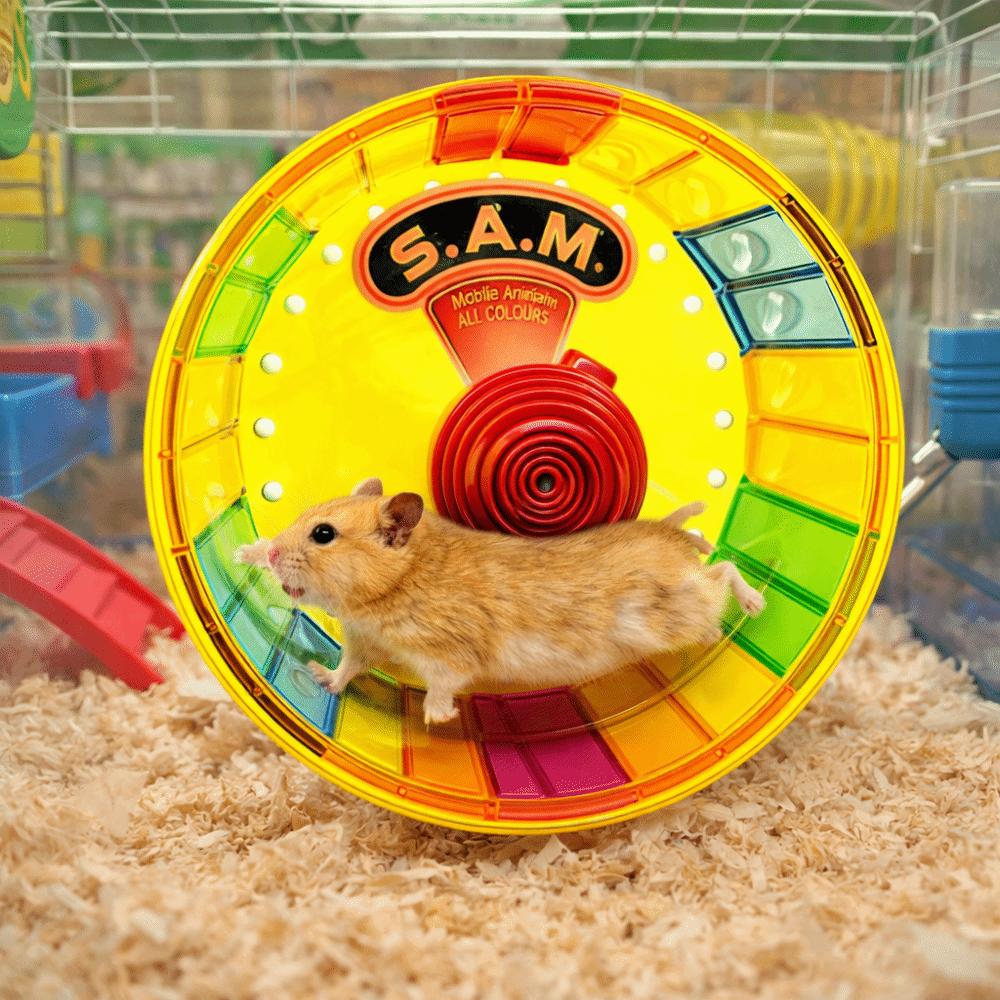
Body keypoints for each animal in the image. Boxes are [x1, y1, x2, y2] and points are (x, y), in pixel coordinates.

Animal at [237, 478, 765, 725]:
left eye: (323, 534)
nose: (277, 552)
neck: (396, 585)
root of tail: (671, 533)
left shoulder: (449, 655)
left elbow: (443, 685)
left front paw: (438, 718)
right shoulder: (365, 642)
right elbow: (346, 669)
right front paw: (317, 676)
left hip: (669, 613)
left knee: (723, 569)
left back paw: (754, 606)